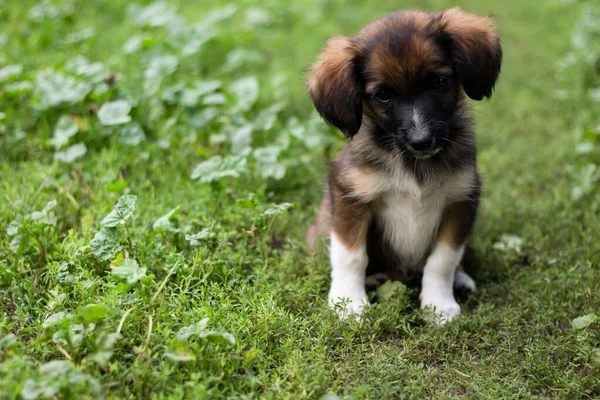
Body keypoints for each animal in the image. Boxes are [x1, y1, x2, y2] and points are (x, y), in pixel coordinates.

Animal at [304, 8, 502, 322]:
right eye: (383, 95)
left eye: (438, 82)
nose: (421, 141)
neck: (413, 164)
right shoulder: (350, 195)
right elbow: (351, 255)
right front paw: (349, 303)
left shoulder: (461, 199)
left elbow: (443, 259)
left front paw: (438, 304)